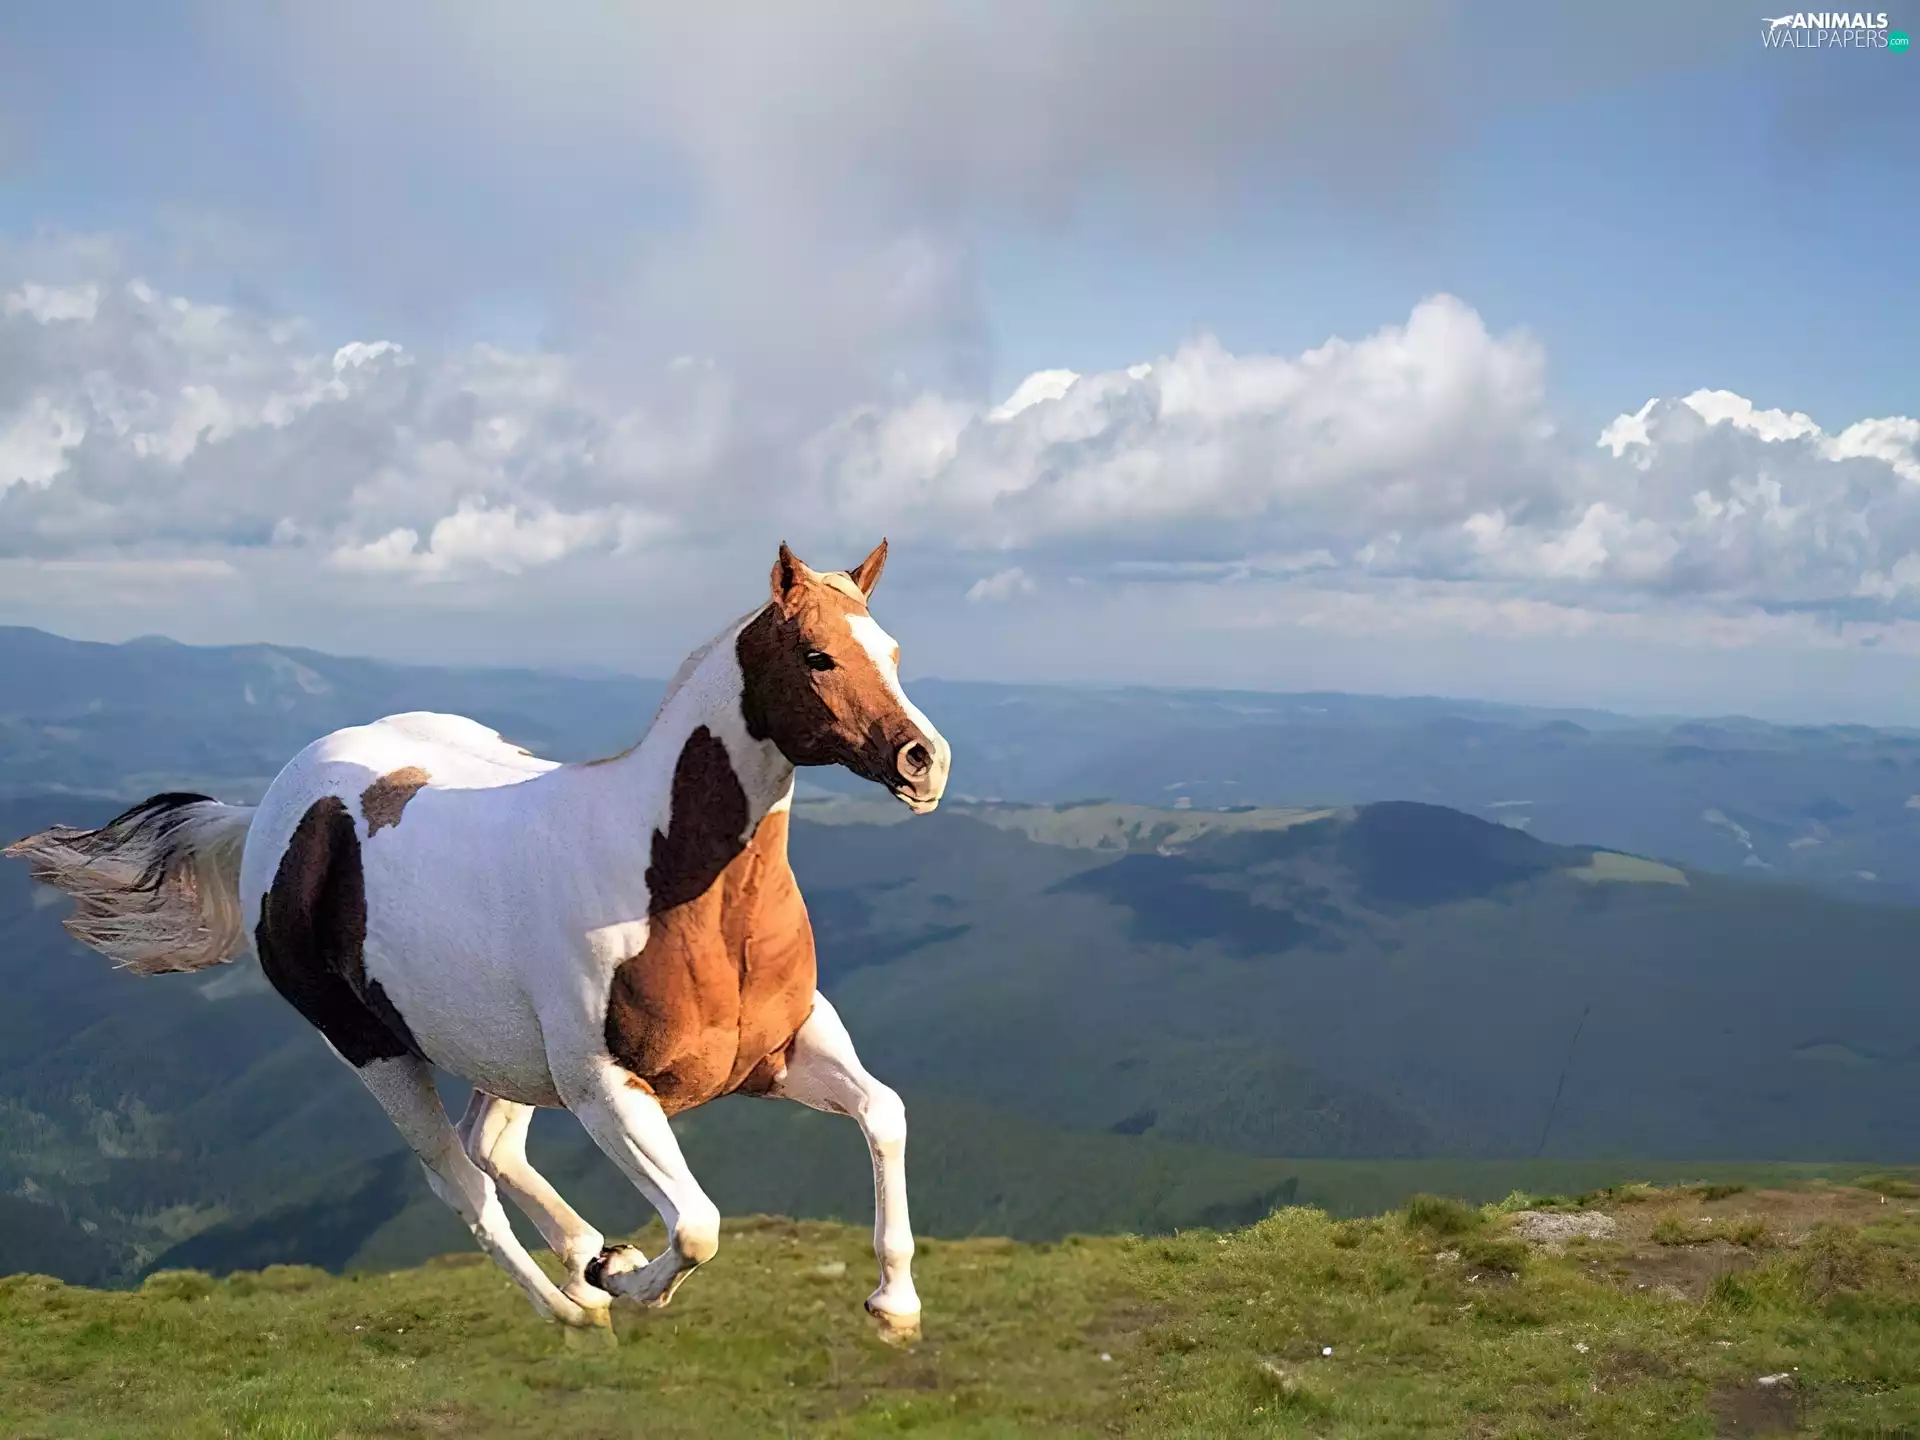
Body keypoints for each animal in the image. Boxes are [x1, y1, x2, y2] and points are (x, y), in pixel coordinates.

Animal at [5, 540, 949, 1342]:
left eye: (894, 651)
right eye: (818, 656)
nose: (923, 761)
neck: (671, 883)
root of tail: (271, 809)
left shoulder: (788, 1045)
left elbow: (886, 1114)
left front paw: (894, 1305)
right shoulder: (608, 1091)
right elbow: (698, 1226)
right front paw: (626, 1283)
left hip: (505, 1056)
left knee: (487, 1146)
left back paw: (586, 1257)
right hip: (376, 1049)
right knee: (458, 1179)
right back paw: (575, 1306)